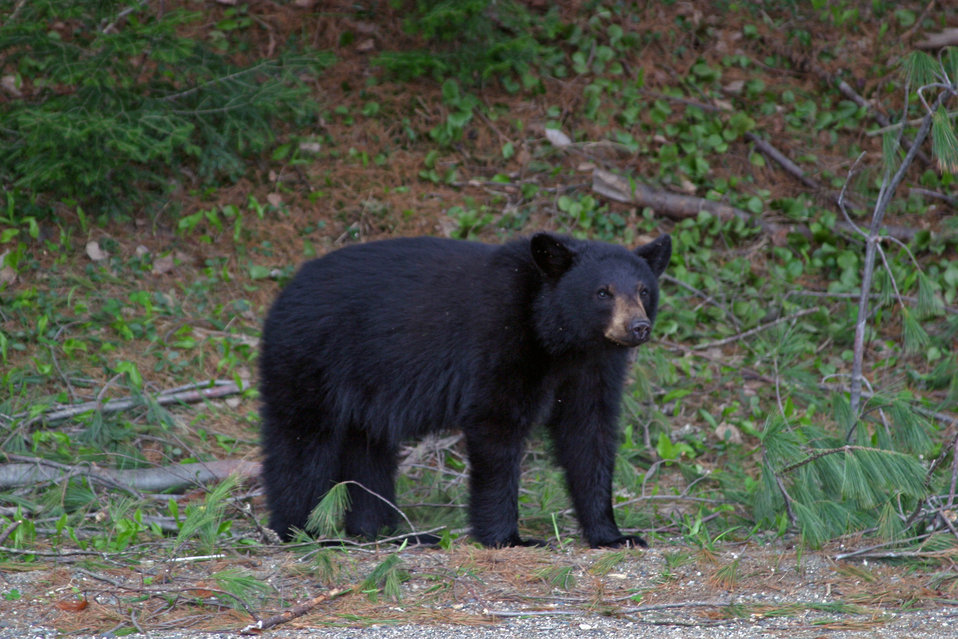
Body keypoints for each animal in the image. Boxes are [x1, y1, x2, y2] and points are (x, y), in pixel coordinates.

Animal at [258, 231, 671, 548]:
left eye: (643, 290)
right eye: (603, 292)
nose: (637, 327)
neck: (559, 338)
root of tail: (284, 292)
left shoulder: (592, 368)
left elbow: (589, 435)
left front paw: (613, 535)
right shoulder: (499, 340)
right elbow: (496, 424)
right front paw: (509, 537)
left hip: (366, 389)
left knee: (368, 449)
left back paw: (387, 533)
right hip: (312, 359)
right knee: (301, 442)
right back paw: (305, 532)